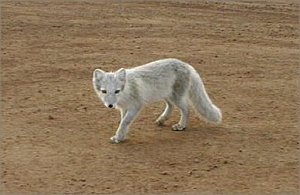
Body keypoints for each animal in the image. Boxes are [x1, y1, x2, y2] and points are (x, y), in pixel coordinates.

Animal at [92, 58, 221, 143]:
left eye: (117, 91)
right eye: (104, 91)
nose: (110, 105)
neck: (127, 89)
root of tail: (186, 65)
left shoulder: (136, 106)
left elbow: (124, 122)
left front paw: (118, 137)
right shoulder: (124, 108)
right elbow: (124, 122)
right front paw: (122, 136)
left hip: (176, 97)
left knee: (186, 109)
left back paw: (181, 125)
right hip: (167, 96)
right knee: (171, 106)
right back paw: (162, 119)